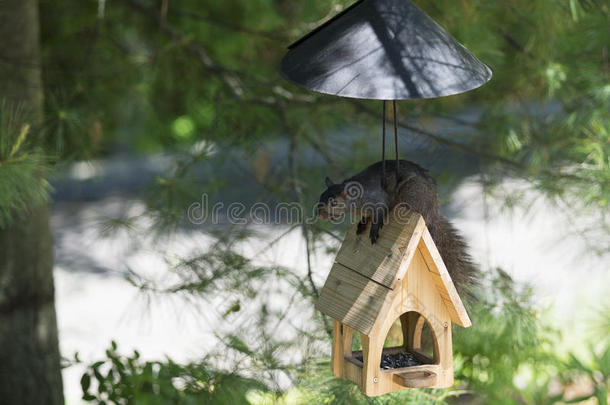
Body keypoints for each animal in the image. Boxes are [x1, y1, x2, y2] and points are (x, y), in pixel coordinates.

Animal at [316, 159, 478, 296]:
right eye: (320, 196)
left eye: (334, 203)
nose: (318, 215)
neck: (356, 199)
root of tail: (433, 210)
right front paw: (362, 223)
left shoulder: (377, 200)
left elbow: (379, 213)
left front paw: (374, 229)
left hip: (412, 195)